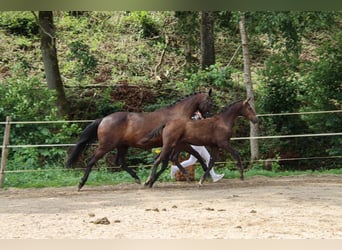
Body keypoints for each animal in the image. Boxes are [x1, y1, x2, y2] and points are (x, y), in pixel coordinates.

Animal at [66, 90, 214, 189]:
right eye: (210, 103)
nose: (208, 117)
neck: (177, 116)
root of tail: (103, 119)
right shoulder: (180, 144)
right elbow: (192, 155)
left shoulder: (172, 145)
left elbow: (165, 162)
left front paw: (150, 180)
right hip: (106, 146)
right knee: (92, 161)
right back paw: (80, 184)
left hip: (122, 146)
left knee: (120, 162)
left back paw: (137, 179)